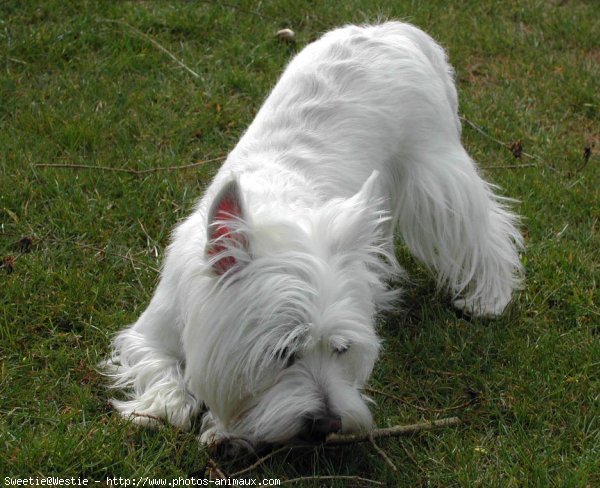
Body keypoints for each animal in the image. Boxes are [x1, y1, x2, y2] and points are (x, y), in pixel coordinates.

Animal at [102, 21, 520, 450]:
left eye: (340, 349)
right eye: (283, 352)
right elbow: (157, 365)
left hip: (433, 171)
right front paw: (164, 405)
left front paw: (226, 429)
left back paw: (487, 298)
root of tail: (395, 30)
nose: (327, 424)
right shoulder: (151, 331)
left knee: (485, 230)